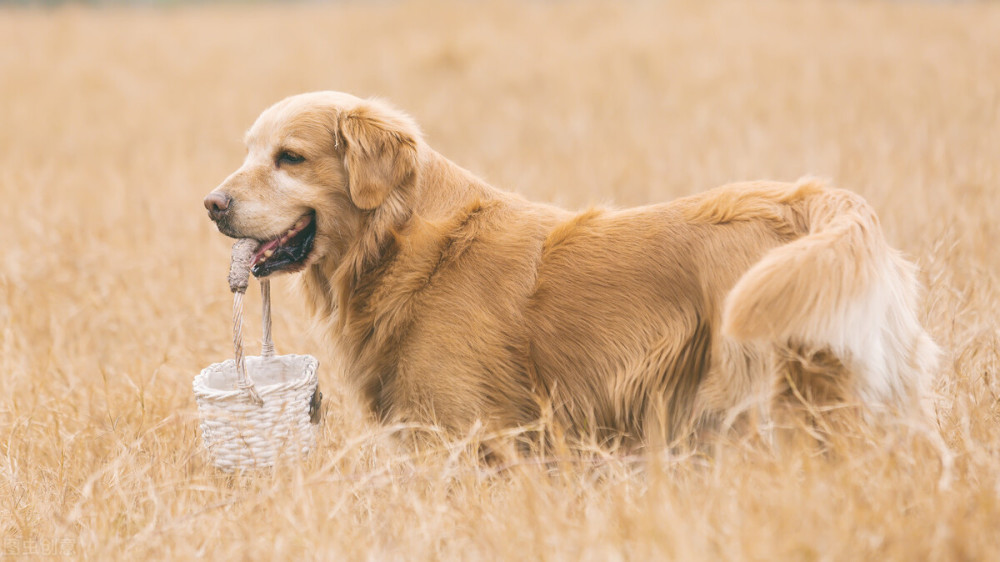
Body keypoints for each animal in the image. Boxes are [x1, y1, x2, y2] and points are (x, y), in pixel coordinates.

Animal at [203, 91, 936, 446]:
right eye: (248, 152)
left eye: (290, 158)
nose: (212, 204)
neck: (402, 241)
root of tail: (808, 203)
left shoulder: (471, 435)